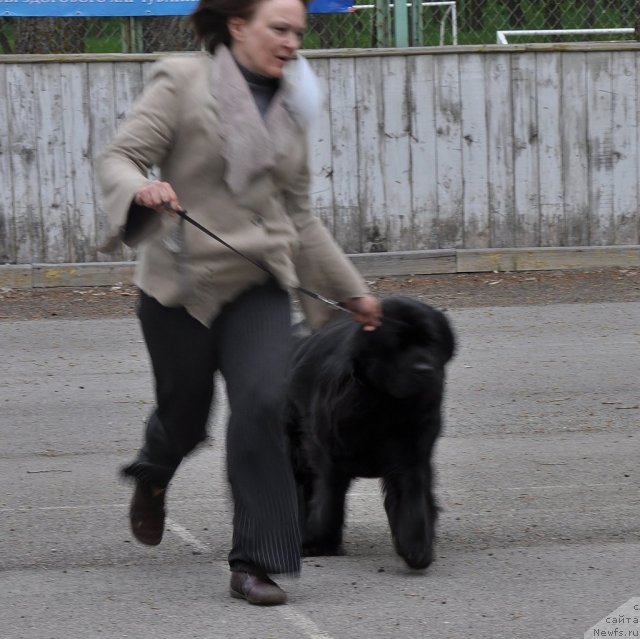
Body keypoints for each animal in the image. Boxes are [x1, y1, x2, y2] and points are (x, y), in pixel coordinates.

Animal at [284, 298, 456, 572]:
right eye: (398, 345)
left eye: (432, 341)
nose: (425, 369)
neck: (384, 403)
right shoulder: (330, 456)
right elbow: (328, 502)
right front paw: (318, 542)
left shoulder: (411, 454)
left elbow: (413, 497)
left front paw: (416, 547)